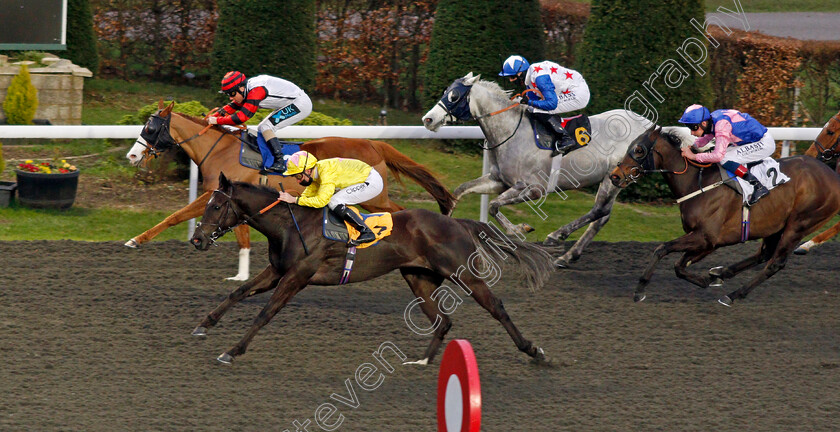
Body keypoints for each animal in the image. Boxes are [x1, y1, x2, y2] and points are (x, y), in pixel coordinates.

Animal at [124, 103, 456, 282]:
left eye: (150, 127)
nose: (132, 155)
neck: (220, 150)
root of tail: (374, 143)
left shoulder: (218, 193)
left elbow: (175, 216)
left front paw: (134, 240)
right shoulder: (230, 197)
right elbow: (239, 234)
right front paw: (241, 274)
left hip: (372, 195)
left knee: (398, 214)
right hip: (373, 197)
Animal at [193, 172, 556, 364]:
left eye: (216, 206)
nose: (197, 239)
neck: (290, 226)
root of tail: (459, 223)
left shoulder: (297, 276)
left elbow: (264, 313)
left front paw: (233, 350)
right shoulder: (278, 271)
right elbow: (239, 291)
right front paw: (203, 324)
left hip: (463, 273)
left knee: (496, 307)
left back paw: (535, 351)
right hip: (419, 278)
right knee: (443, 320)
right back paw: (422, 361)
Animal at [426, 72, 656, 264]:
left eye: (454, 96)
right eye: (446, 92)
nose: (428, 119)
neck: (511, 132)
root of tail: (649, 126)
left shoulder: (535, 188)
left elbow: (493, 205)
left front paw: (520, 229)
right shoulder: (497, 180)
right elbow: (461, 191)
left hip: (613, 176)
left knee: (600, 210)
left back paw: (557, 236)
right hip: (614, 179)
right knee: (603, 216)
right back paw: (568, 256)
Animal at [612, 126, 840, 306]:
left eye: (639, 150)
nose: (614, 176)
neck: (697, 182)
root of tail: (833, 176)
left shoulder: (706, 237)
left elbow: (662, 249)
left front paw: (640, 290)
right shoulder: (708, 243)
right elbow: (679, 266)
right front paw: (707, 279)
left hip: (800, 223)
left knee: (775, 263)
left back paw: (733, 295)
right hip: (777, 225)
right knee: (764, 254)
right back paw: (719, 274)